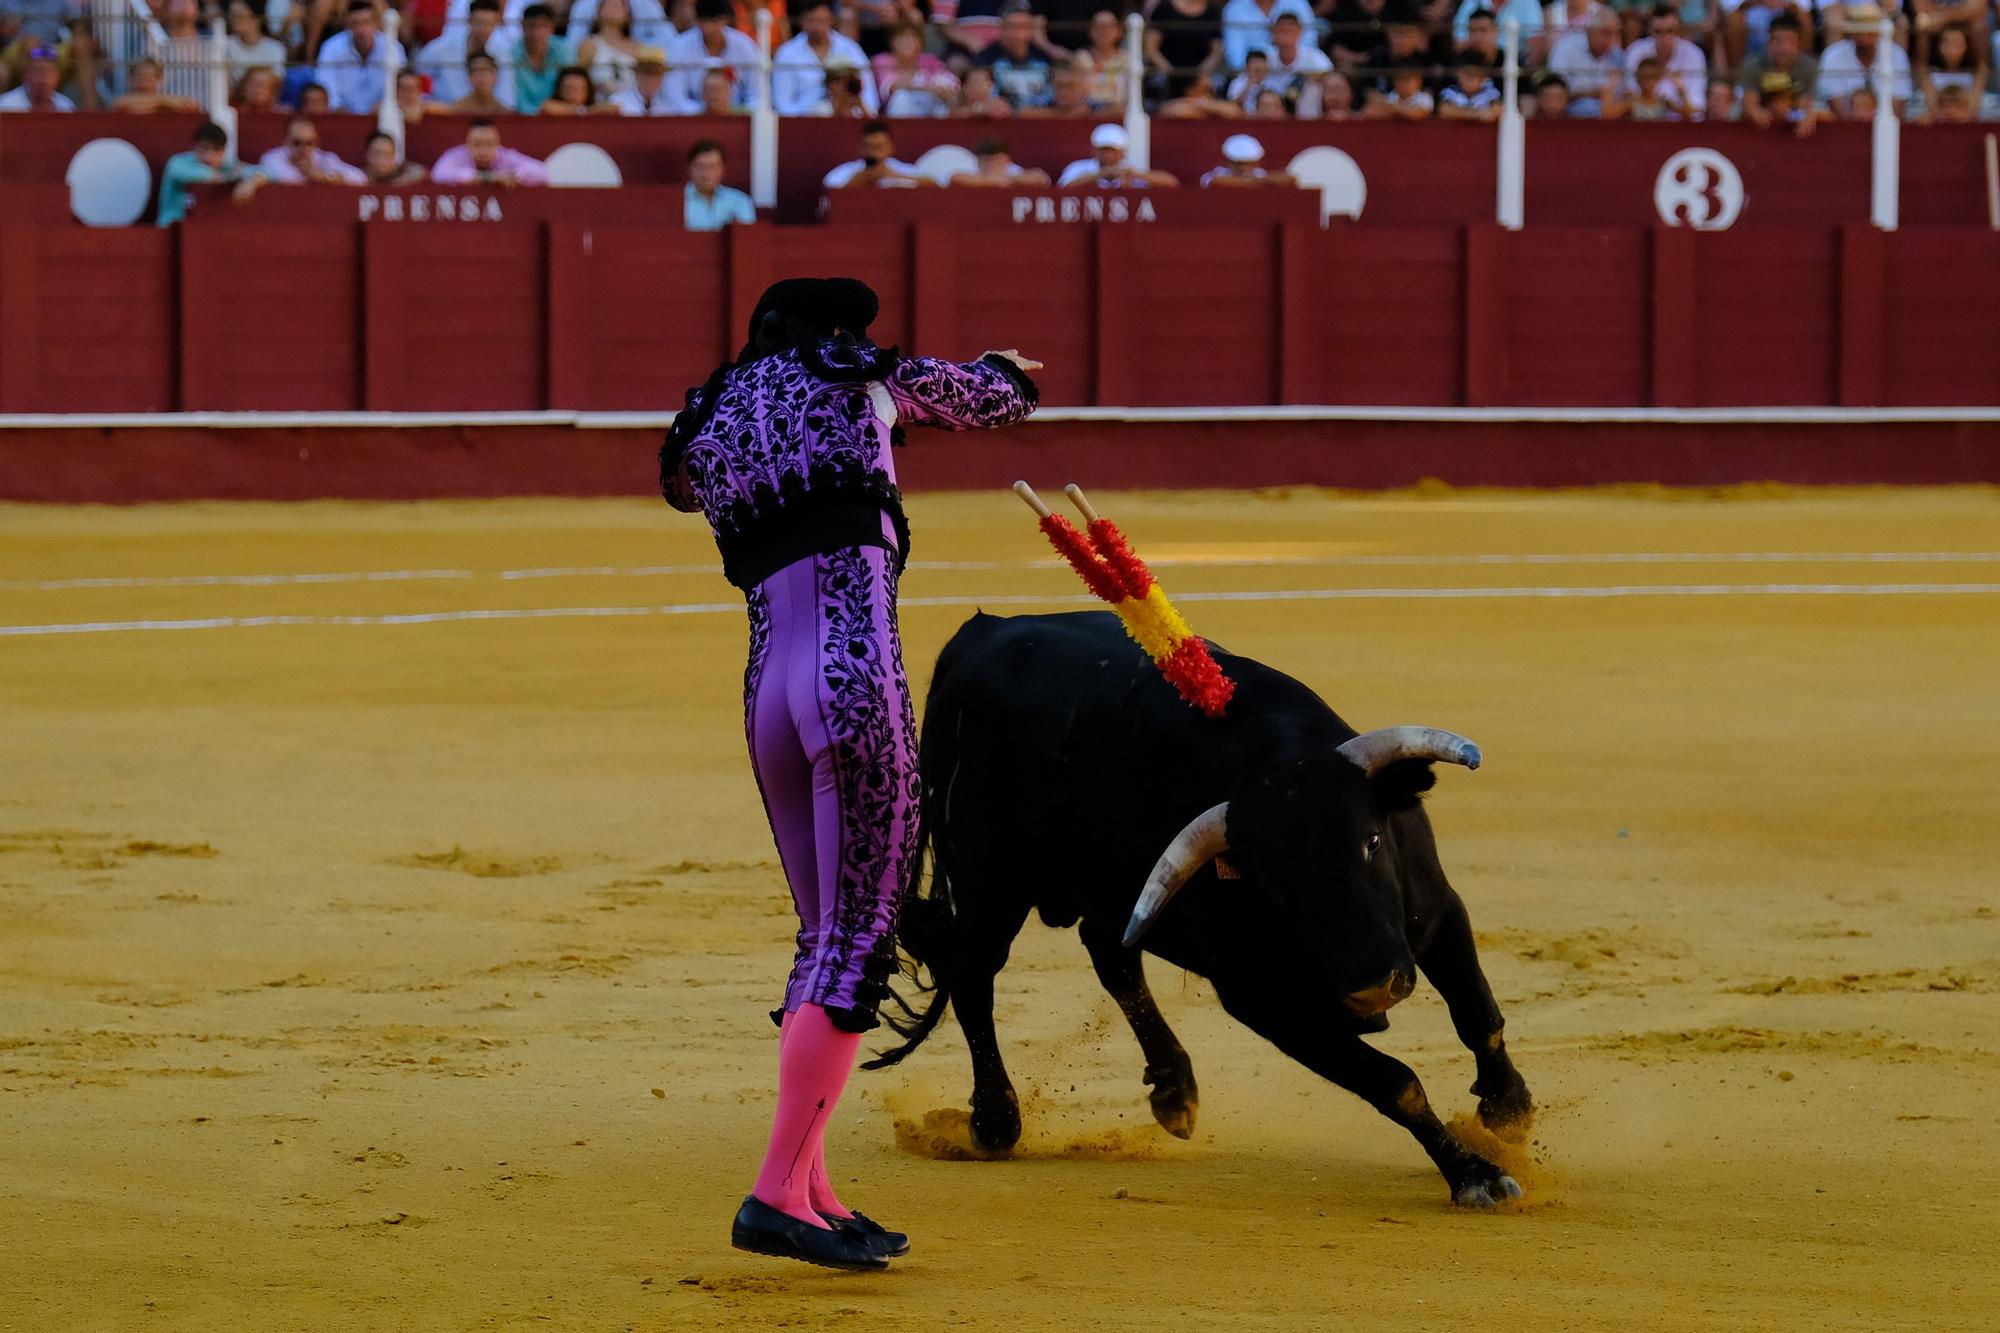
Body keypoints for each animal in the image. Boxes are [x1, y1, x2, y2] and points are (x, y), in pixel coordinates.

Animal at [868, 612, 1536, 1200]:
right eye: (1275, 886)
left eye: (1371, 841)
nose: (1375, 986)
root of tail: (973, 637)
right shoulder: (1262, 1000)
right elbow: (1394, 1082)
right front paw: (1475, 1175)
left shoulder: (1438, 915)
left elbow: (1478, 1015)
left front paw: (1508, 1111)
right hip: (989, 885)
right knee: (975, 976)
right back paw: (996, 1122)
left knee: (1109, 954)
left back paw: (1173, 1091)